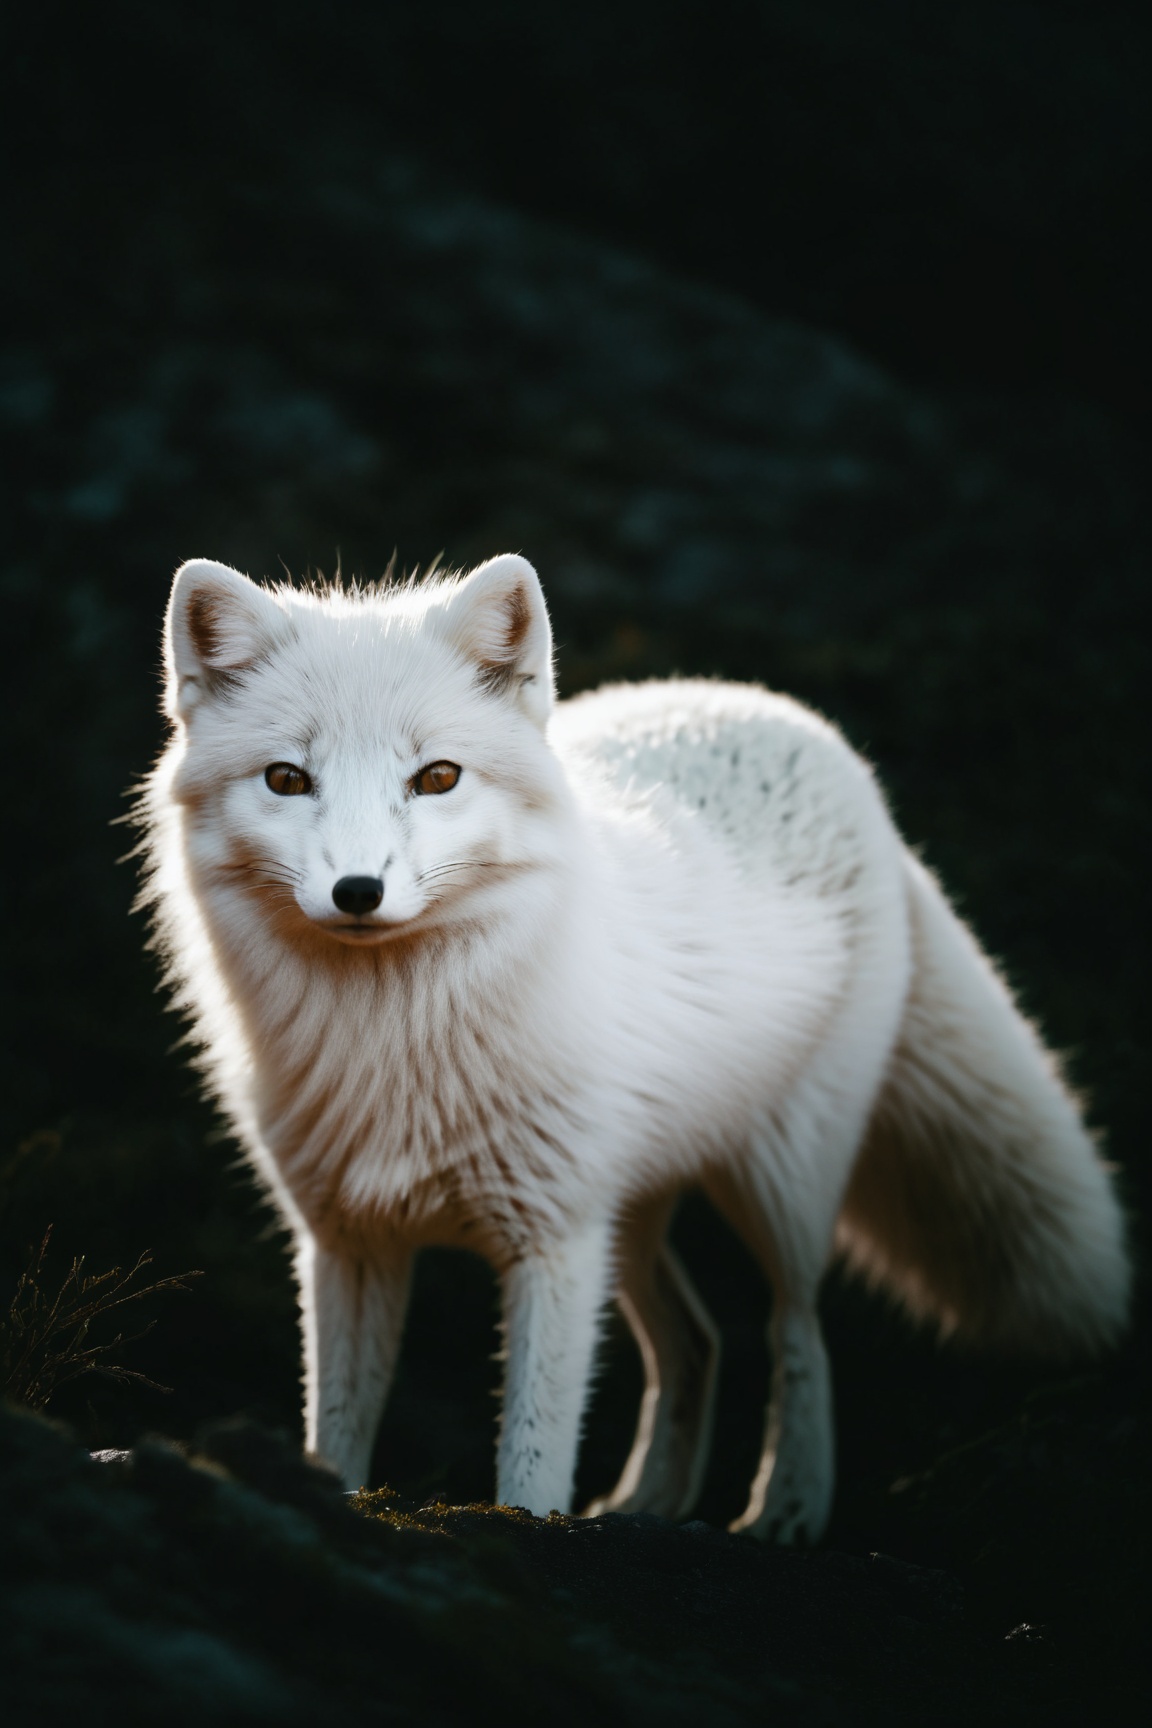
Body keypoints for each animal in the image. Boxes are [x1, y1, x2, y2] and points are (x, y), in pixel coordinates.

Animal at [140, 551, 1129, 1543]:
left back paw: (787, 1508)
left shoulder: (555, 1239)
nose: (356, 890)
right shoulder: (348, 1241)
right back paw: (649, 1505)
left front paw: (533, 1526)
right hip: (633, 1214)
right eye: (286, 779)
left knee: (797, 1328)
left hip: (779, 1178)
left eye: (437, 777)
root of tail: (798, 724)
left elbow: (533, 1457)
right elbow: (338, 1433)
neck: (396, 1046)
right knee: (697, 1340)